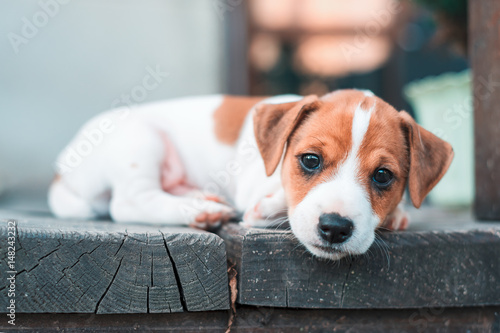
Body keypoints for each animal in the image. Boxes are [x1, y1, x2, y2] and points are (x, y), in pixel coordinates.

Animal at [49, 90, 454, 260]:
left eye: (383, 176)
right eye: (310, 160)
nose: (335, 228)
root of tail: (61, 169)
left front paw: (398, 213)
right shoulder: (252, 182)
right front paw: (270, 205)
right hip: (140, 141)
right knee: (129, 201)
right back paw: (202, 210)